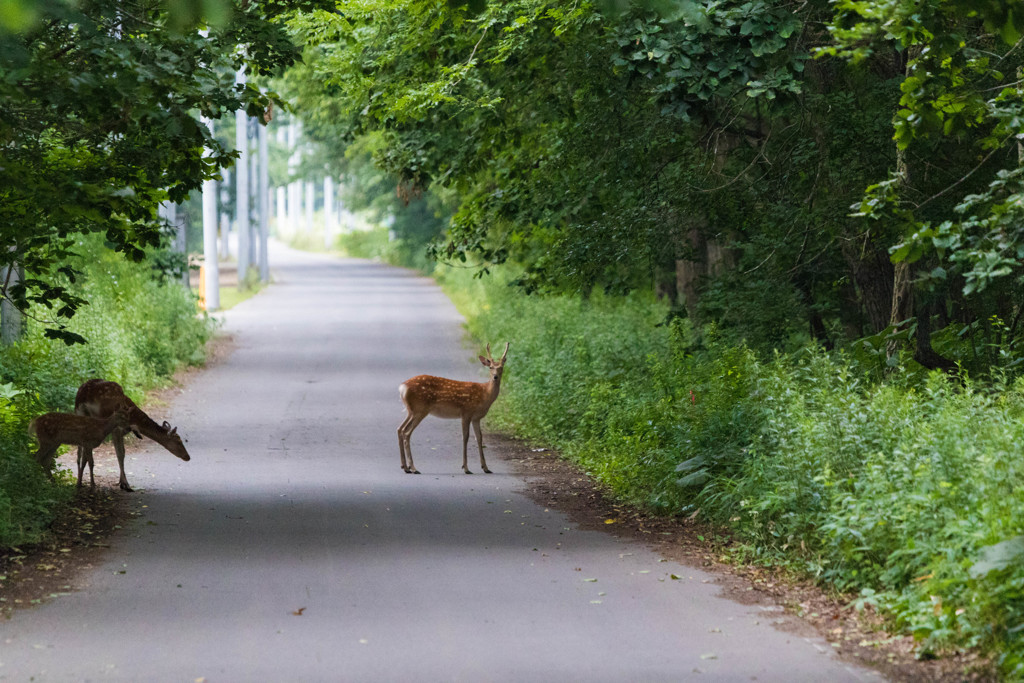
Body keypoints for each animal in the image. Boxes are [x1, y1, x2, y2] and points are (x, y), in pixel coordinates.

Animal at [399, 344, 512, 473]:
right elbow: (465, 437)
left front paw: (486, 468)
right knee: (406, 432)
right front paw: (466, 468)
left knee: (400, 429)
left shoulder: (476, 418)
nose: (495, 377)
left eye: (501, 368)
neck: (484, 394)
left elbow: (479, 438)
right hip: (420, 409)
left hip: (411, 410)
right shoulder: (466, 412)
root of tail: (403, 387)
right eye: (491, 367)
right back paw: (413, 468)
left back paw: (405, 467)